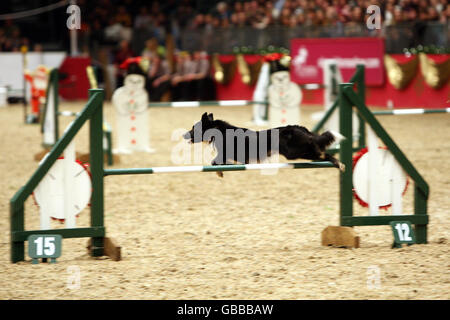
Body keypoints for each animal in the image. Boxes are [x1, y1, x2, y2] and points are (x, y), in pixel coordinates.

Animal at [183, 112, 344, 178]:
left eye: (193, 128)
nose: (184, 135)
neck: (218, 131)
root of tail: (299, 128)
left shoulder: (225, 154)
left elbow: (214, 162)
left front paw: (219, 172)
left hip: (294, 152)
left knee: (322, 153)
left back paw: (339, 163)